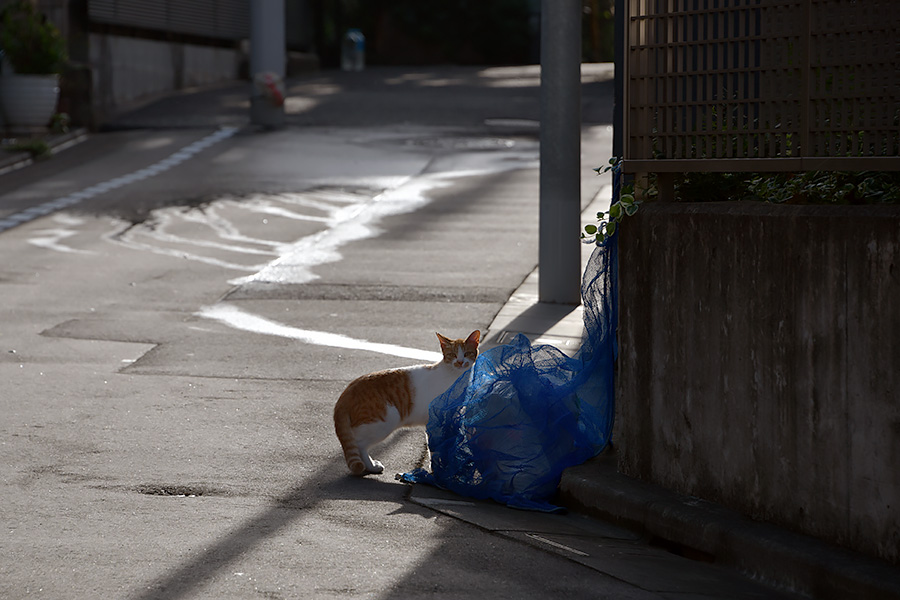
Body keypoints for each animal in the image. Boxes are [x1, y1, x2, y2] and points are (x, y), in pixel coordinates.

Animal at [334, 330, 482, 476]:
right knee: (359, 443)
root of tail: (347, 390)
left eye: (467, 353)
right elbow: (435, 446)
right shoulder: (436, 420)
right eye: (453, 355)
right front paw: (437, 469)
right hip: (384, 422)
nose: (460, 362)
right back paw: (371, 466)